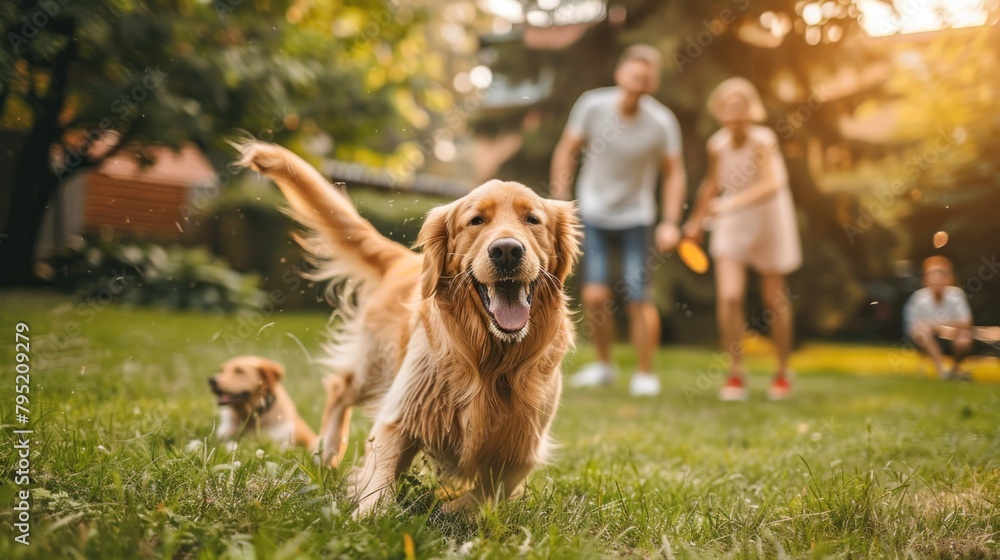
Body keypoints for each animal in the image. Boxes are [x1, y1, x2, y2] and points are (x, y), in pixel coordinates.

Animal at [232, 140, 580, 516]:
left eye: (532, 219)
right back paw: (327, 454)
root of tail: (403, 258)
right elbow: (380, 478)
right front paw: (368, 514)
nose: (506, 250)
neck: (489, 358)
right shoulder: (402, 412)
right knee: (341, 388)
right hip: (377, 365)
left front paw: (452, 509)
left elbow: (491, 490)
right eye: (476, 220)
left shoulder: (524, 442)